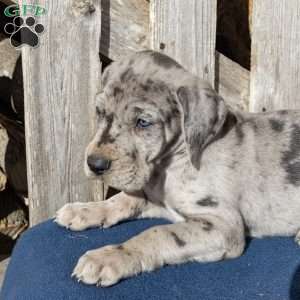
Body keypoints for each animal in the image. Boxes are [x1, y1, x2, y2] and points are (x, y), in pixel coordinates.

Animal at [55, 50, 300, 288]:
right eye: (100, 112)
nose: (95, 164)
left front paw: (109, 257)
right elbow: (123, 199)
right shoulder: (160, 201)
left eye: (143, 122)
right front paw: (84, 210)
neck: (169, 165)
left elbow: (159, 233)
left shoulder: (223, 224)